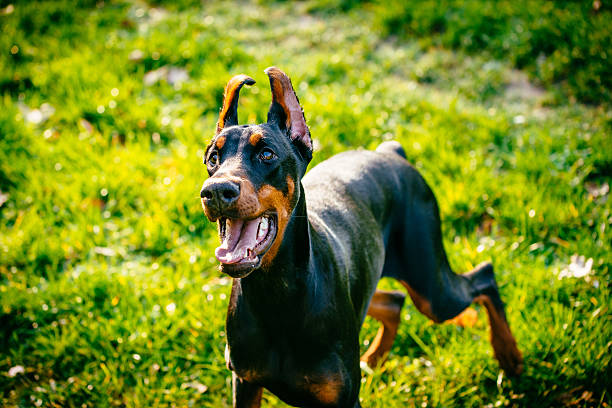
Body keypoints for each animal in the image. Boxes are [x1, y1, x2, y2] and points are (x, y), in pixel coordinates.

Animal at [200, 68, 520, 406]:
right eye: (213, 158)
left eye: (266, 153)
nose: (215, 191)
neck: (276, 293)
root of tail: (392, 154)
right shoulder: (245, 381)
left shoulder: (343, 398)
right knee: (394, 300)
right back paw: (374, 359)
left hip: (432, 288)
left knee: (483, 275)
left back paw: (509, 356)